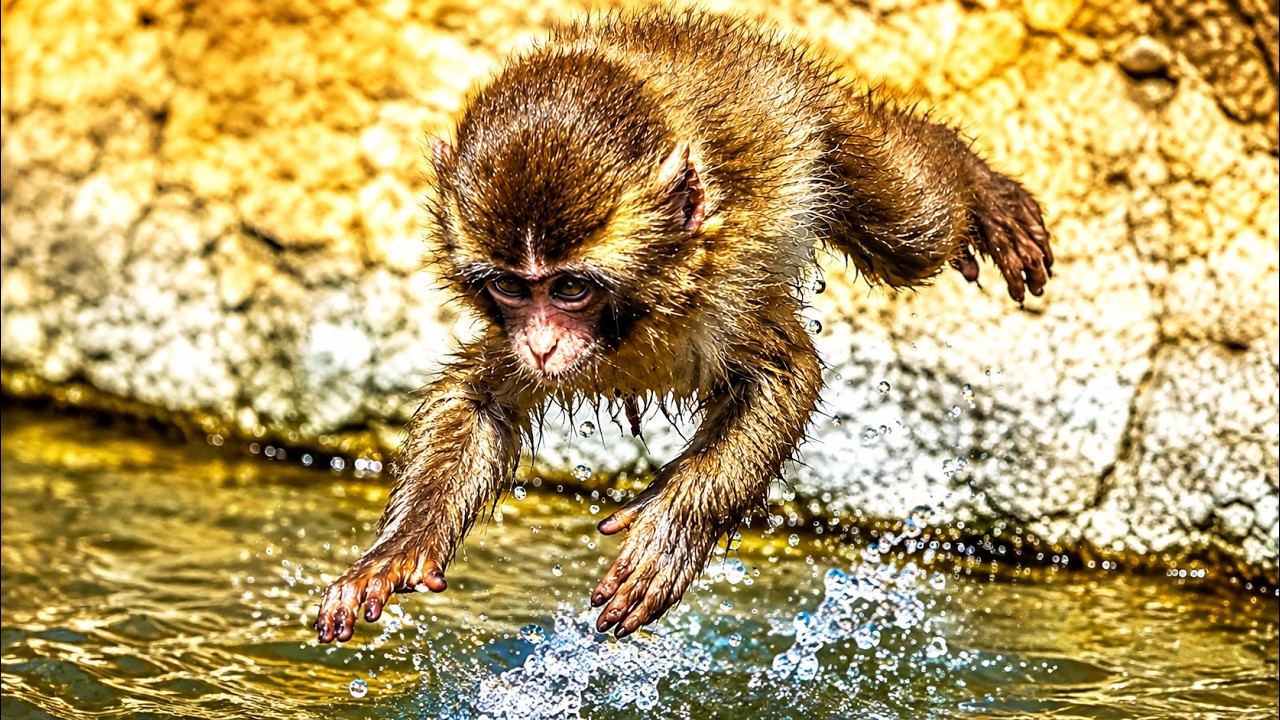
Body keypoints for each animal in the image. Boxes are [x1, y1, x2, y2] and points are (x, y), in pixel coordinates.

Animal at [314, 9, 1051, 644]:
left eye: (570, 287)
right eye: (510, 287)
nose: (542, 343)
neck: (635, 310)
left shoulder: (724, 293)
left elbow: (785, 375)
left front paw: (671, 527)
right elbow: (480, 397)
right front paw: (399, 550)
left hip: (827, 129)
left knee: (914, 227)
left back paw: (980, 189)